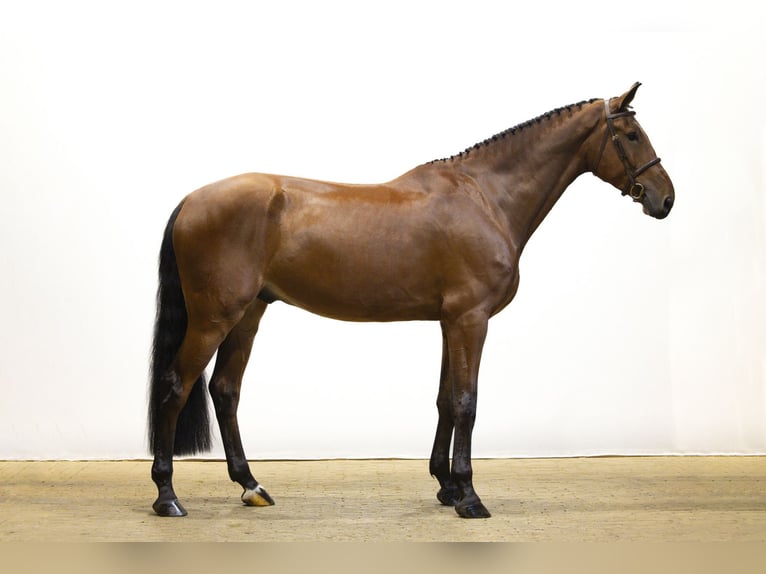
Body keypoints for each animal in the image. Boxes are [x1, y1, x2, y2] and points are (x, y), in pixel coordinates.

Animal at [148, 82, 674, 519]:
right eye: (630, 134)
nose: (665, 199)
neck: (485, 197)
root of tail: (192, 200)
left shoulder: (450, 321)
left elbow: (445, 400)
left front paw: (447, 486)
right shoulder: (471, 320)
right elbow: (466, 401)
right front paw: (470, 496)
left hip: (248, 314)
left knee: (225, 390)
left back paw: (251, 486)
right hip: (214, 318)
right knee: (175, 386)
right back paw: (168, 496)